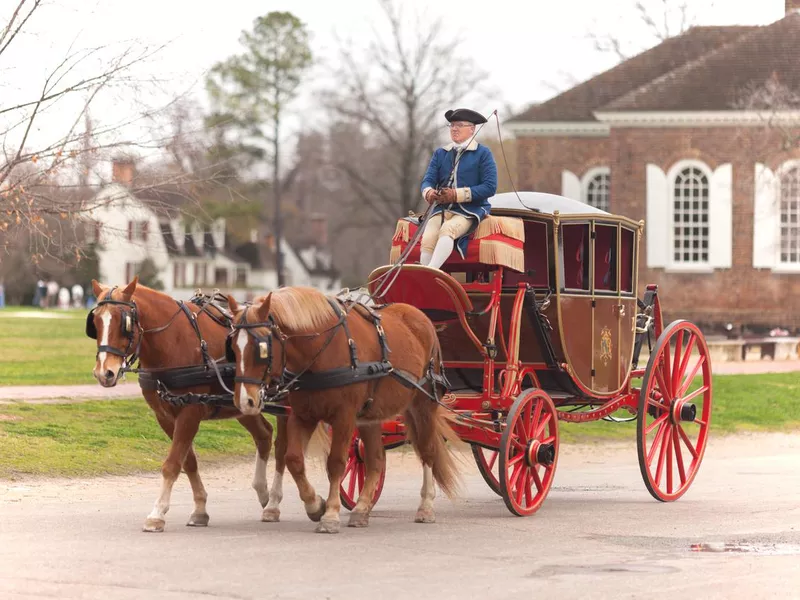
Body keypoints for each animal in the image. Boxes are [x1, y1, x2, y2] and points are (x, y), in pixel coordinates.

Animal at [86, 278, 322, 532]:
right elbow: (188, 461)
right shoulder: (165, 416)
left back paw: (274, 504)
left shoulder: (190, 412)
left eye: (124, 323)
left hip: (284, 402)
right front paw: (200, 509)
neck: (175, 339)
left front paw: (157, 514)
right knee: (264, 435)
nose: (104, 373)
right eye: (95, 321)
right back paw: (263, 492)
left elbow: (172, 463)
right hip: (244, 402)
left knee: (281, 449)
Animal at [225, 286, 462, 536]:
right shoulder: (302, 415)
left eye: (261, 348)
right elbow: (293, 459)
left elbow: (336, 462)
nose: (245, 401)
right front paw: (314, 505)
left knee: (427, 452)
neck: (321, 351)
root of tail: (421, 318)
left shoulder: (344, 418)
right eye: (233, 348)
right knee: (375, 459)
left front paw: (329, 515)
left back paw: (425, 506)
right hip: (370, 416)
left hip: (423, 405)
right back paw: (361, 509)